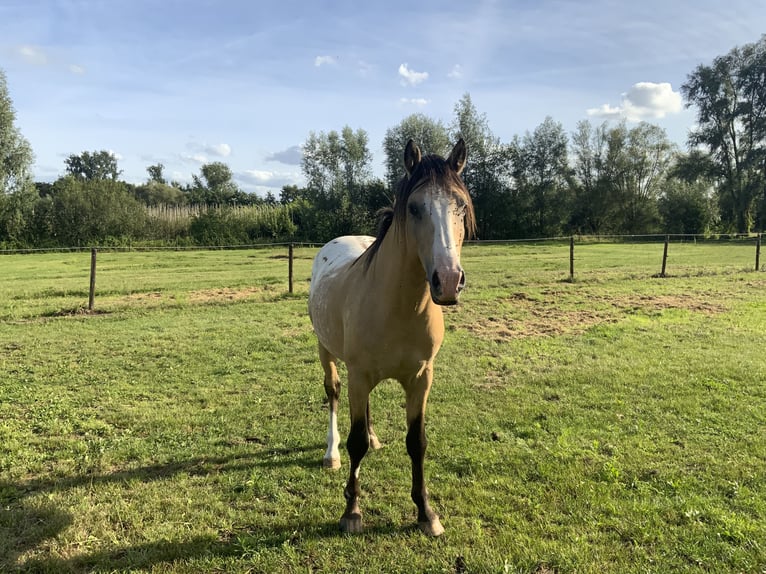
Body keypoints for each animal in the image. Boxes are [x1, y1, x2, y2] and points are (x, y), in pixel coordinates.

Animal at [308, 138, 476, 536]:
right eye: (414, 208)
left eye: (461, 205)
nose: (449, 280)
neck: (400, 306)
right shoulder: (359, 375)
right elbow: (354, 443)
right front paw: (352, 512)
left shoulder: (421, 378)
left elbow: (417, 442)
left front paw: (426, 513)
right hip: (327, 353)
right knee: (334, 395)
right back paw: (331, 454)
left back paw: (373, 438)